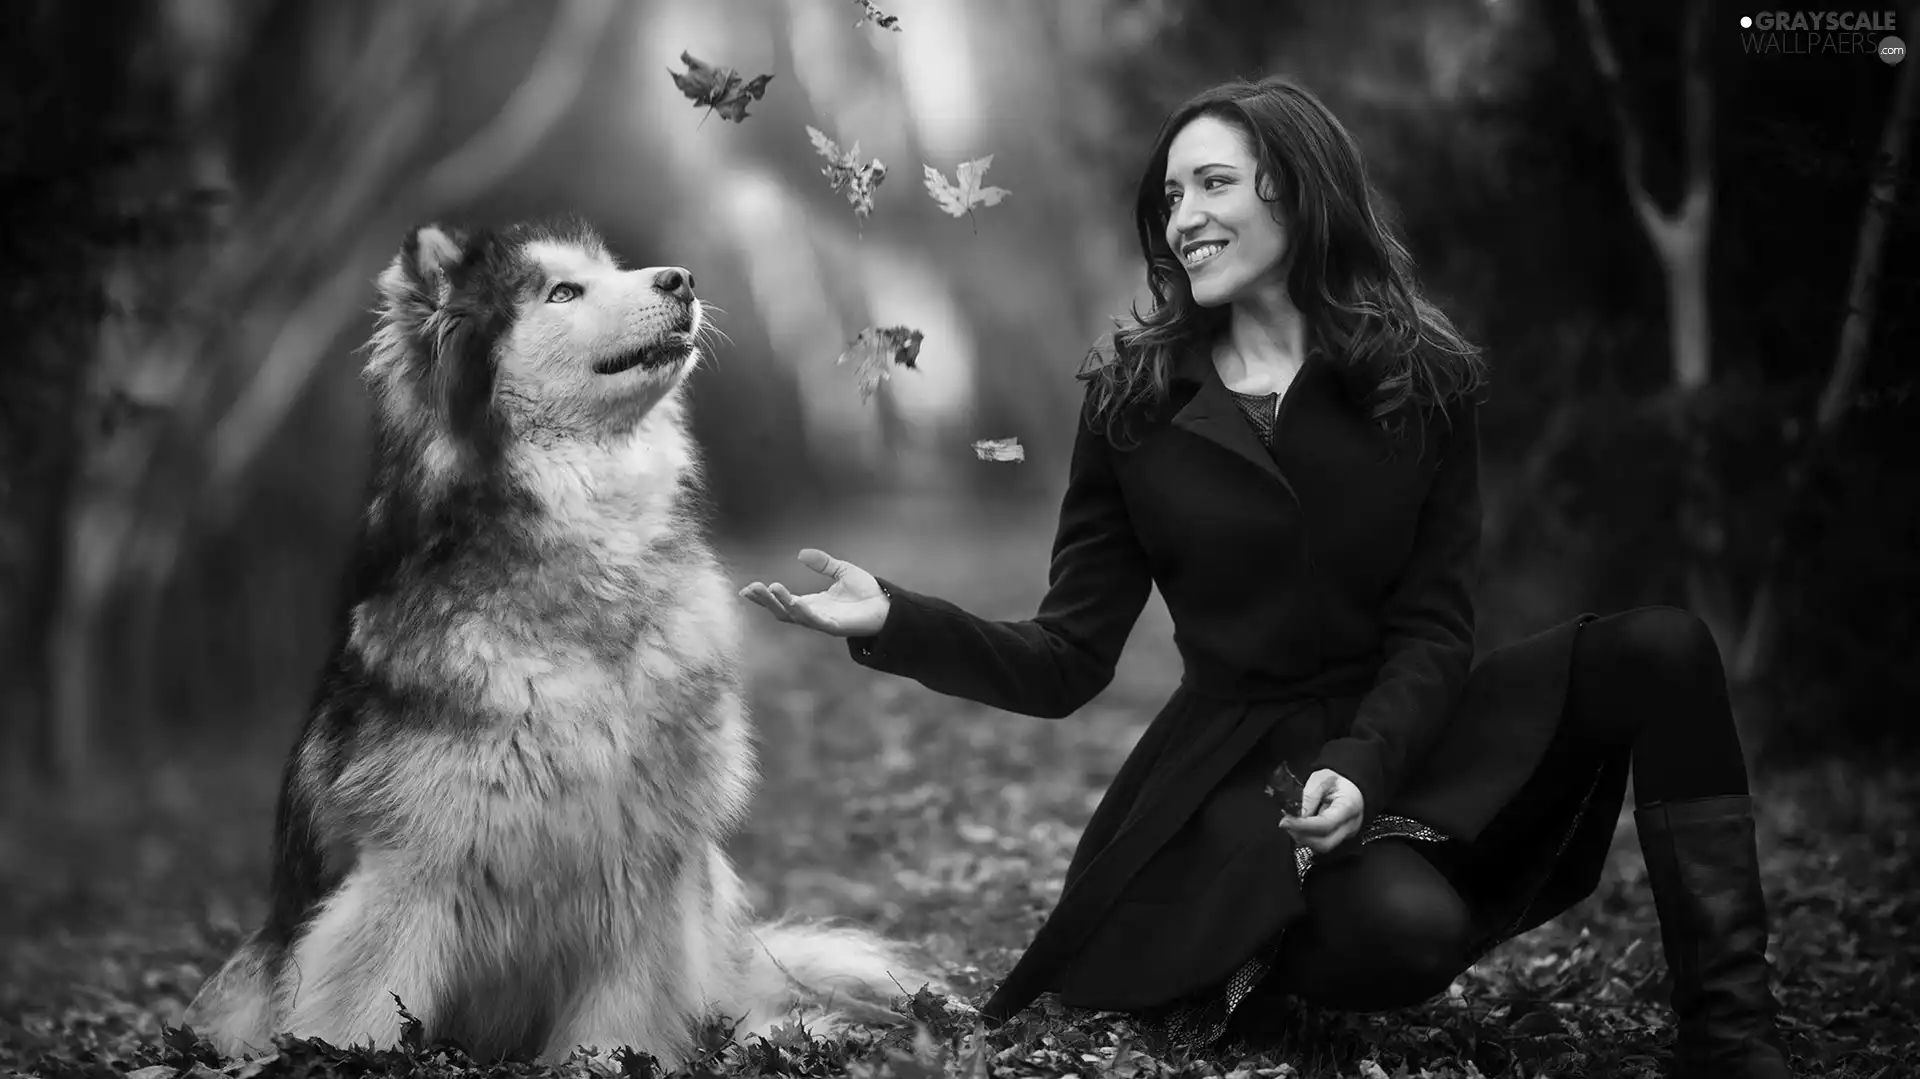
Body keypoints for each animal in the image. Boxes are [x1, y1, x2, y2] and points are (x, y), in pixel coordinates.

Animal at [183, 215, 933, 1059]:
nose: (682, 279)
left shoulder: (647, 868)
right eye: (563, 292)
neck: (589, 565)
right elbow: (356, 1013)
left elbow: (622, 1021)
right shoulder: (405, 873)